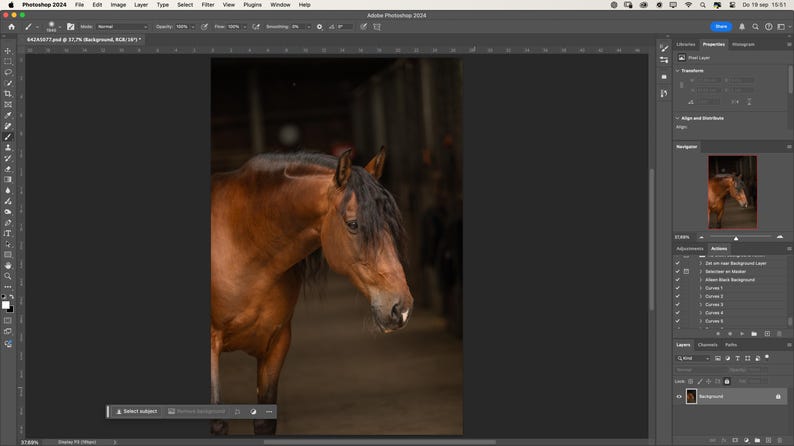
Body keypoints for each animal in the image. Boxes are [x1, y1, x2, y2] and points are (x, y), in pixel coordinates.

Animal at [210, 147, 413, 435]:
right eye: (353, 224)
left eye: (390, 223)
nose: (401, 308)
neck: (243, 238)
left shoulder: (276, 344)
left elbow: (264, 421)